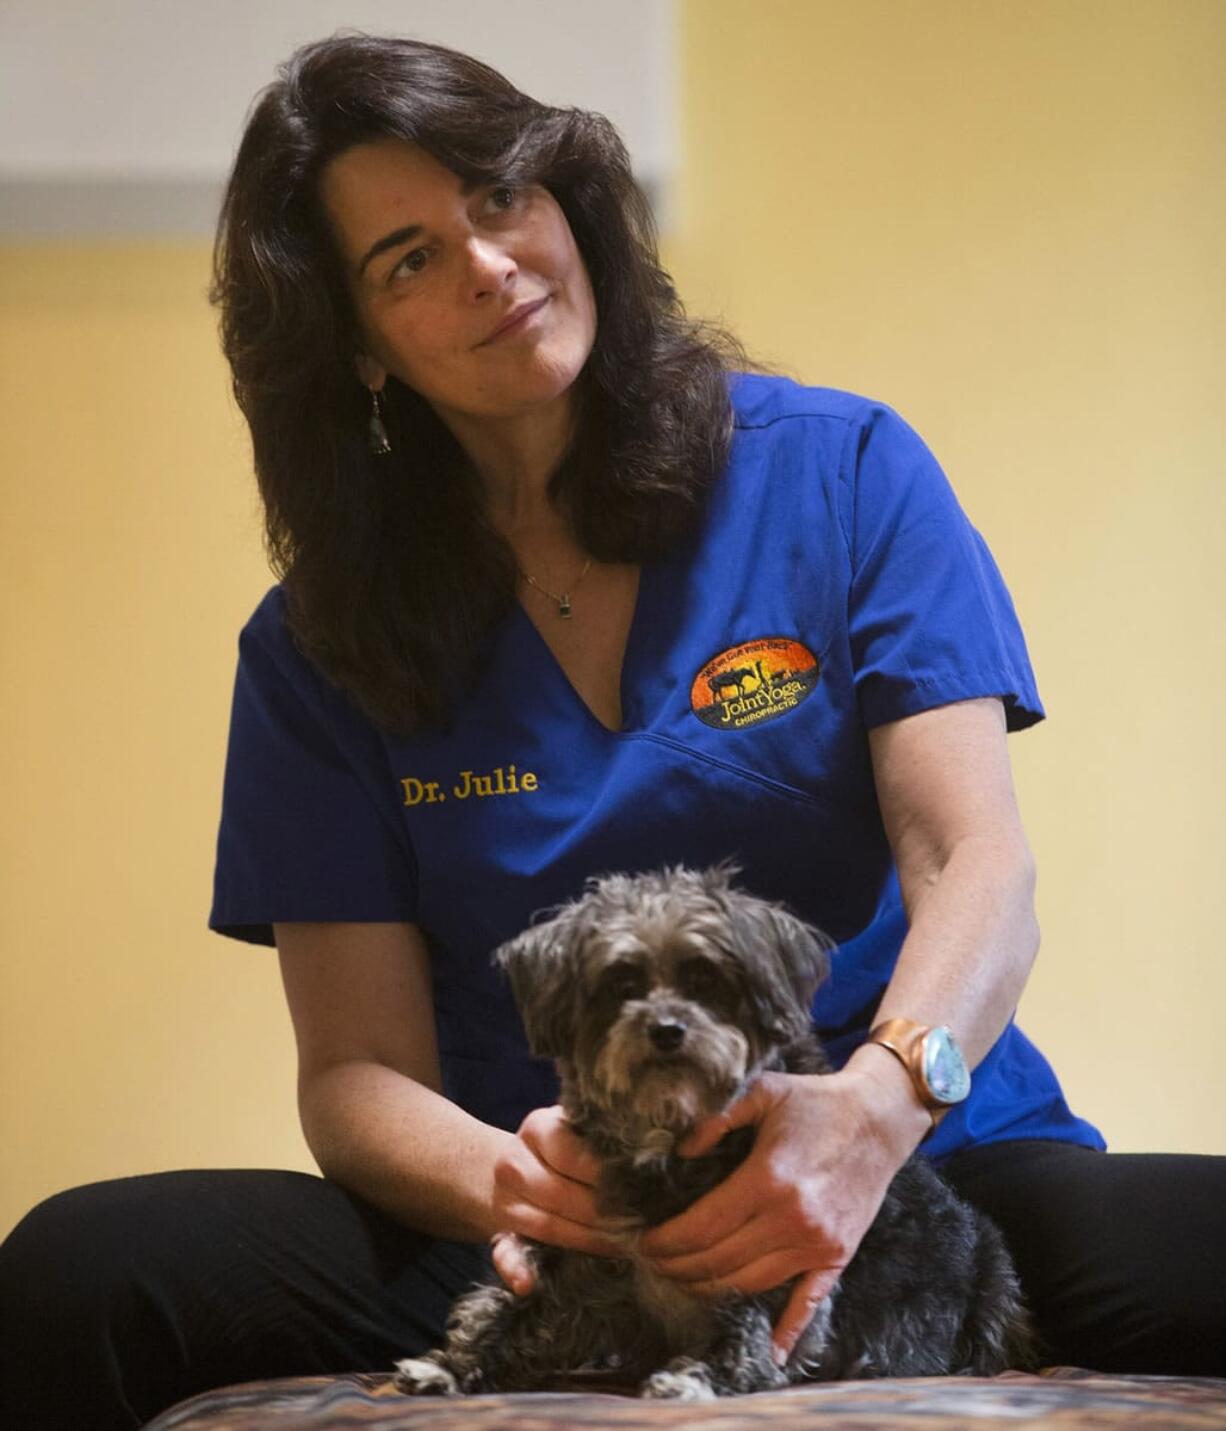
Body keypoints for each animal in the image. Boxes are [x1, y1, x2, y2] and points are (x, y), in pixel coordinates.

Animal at [394, 858, 1035, 1396]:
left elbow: (750, 1329)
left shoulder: (779, 1248)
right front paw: (451, 1365)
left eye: (705, 978)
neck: (667, 1130)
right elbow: (507, 1310)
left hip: (993, 1289)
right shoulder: (584, 1260)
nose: (667, 1030)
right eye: (622, 983)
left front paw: (701, 1377)